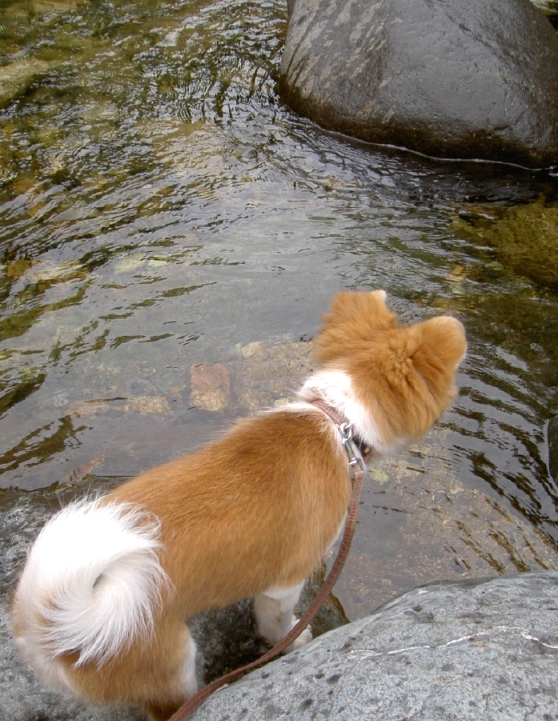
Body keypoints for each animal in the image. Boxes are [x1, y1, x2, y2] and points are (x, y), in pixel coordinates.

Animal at [12, 290, 466, 720]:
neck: (336, 421)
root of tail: (52, 623)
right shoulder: (286, 582)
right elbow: (278, 623)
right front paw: (294, 639)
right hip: (169, 665)